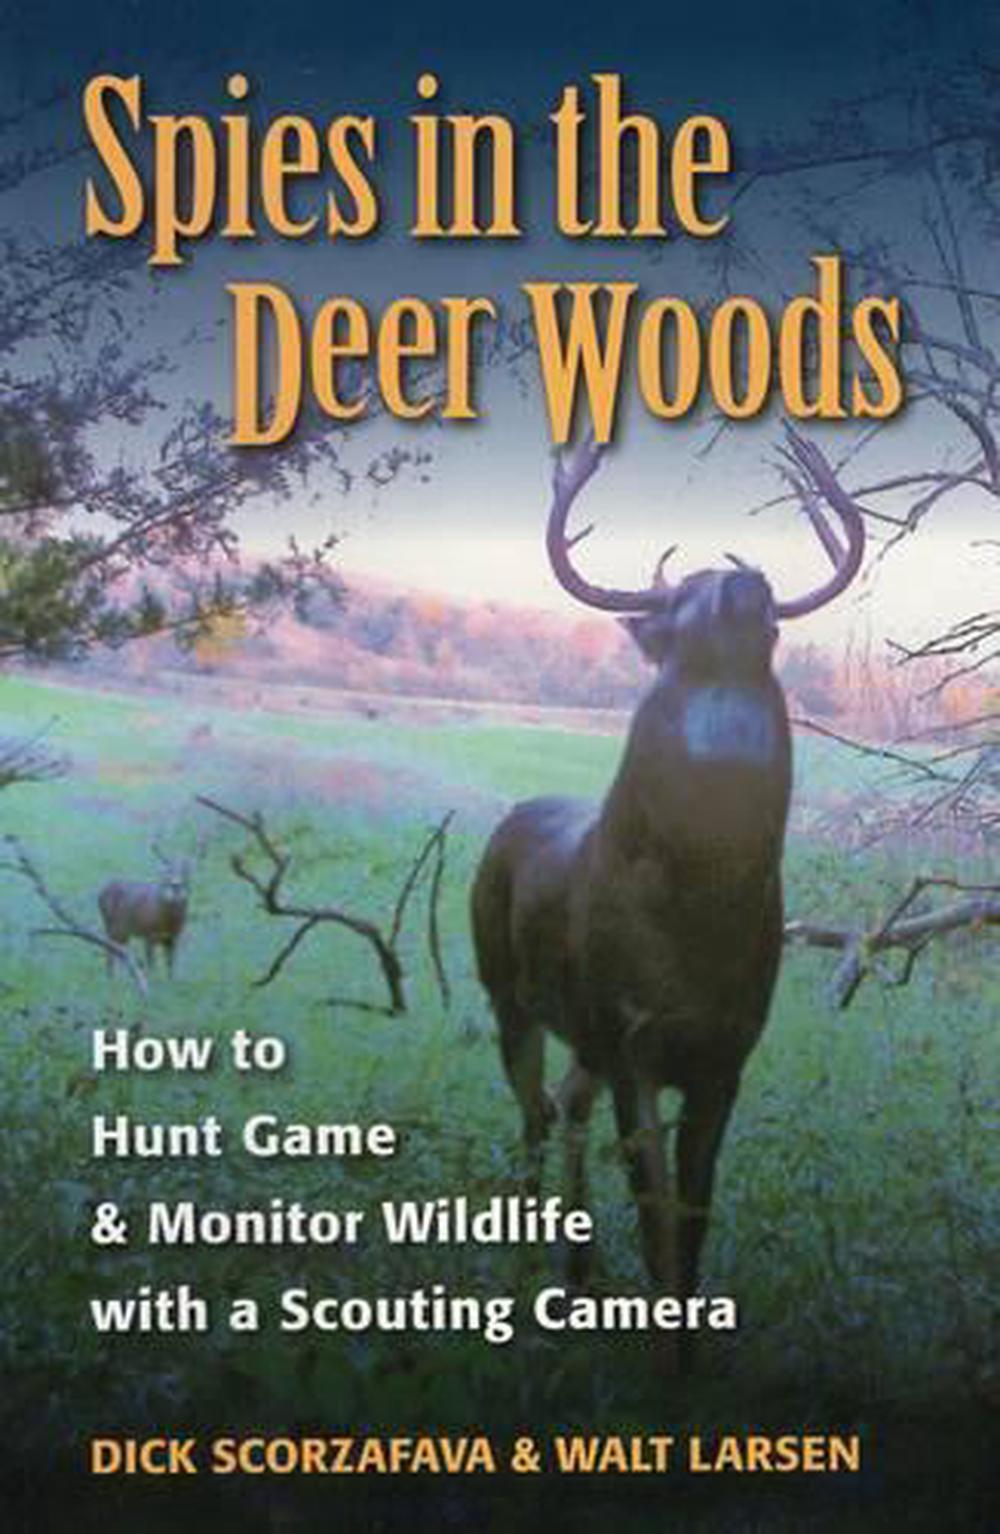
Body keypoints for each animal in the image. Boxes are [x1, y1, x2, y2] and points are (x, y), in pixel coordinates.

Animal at [98, 847, 192, 978]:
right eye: (165, 875)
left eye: (186, 874)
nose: (176, 885)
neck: (167, 923)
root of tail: (101, 891)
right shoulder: (148, 933)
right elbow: (151, 964)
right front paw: (151, 979)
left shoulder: (174, 937)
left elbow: (170, 966)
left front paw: (170, 980)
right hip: (110, 925)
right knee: (109, 950)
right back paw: (111, 977)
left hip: (123, 931)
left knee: (119, 950)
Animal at [471, 428, 866, 1362]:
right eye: (683, 597)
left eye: (769, 612)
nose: (745, 580)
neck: (699, 910)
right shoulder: (633, 1038)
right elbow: (654, 1211)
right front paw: (661, 1360)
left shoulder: (727, 1053)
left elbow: (693, 1215)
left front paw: (689, 1353)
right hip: (507, 990)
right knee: (534, 1112)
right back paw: (527, 1273)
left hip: (582, 1031)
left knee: (565, 1102)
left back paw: (579, 1273)